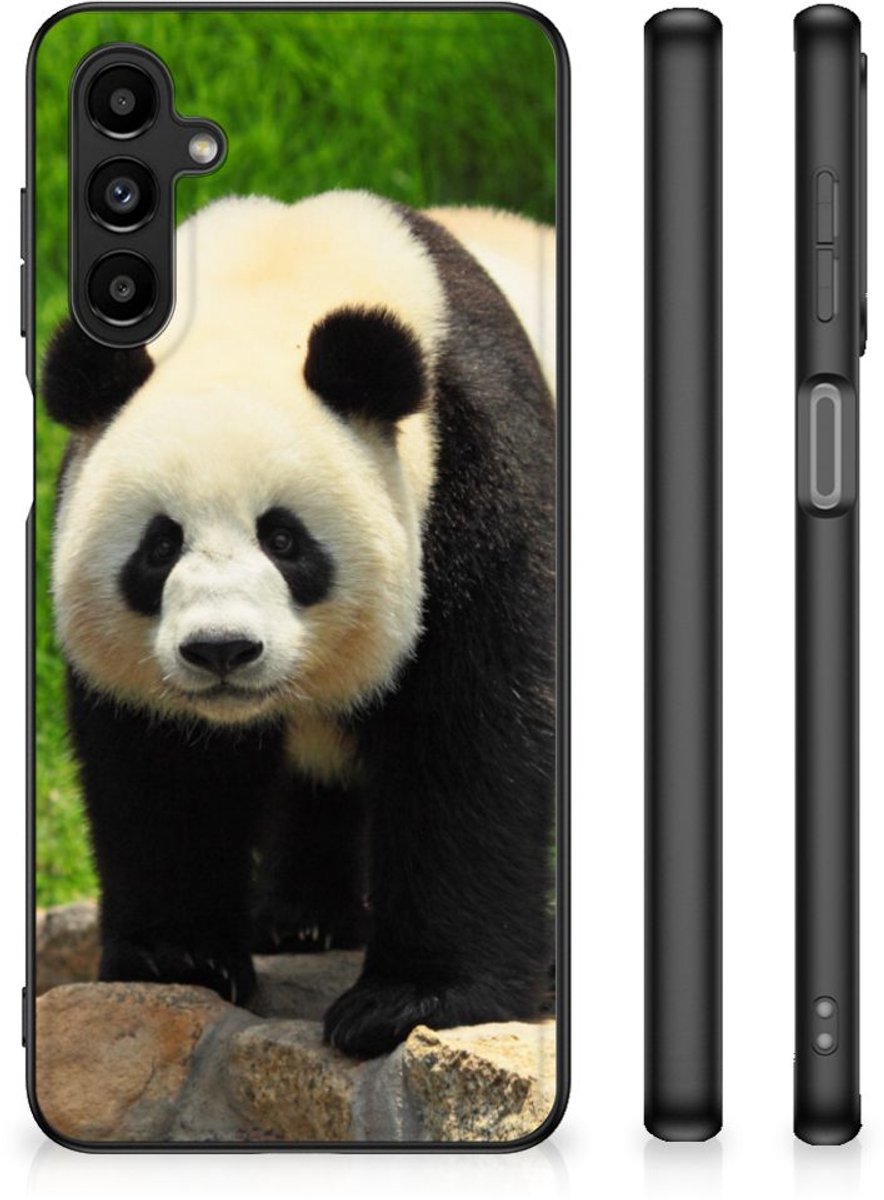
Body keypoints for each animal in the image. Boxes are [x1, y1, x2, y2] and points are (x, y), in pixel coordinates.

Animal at [43, 190, 557, 1058]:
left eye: (283, 539)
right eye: (159, 545)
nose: (221, 649)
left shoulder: (477, 470)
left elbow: (475, 733)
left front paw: (410, 1000)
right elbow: (161, 765)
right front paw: (179, 958)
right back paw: (303, 920)